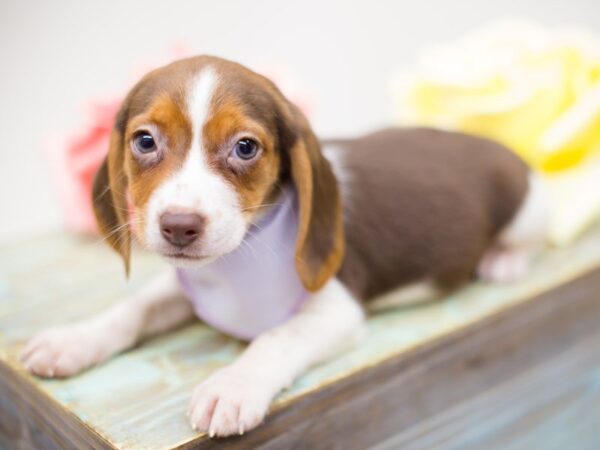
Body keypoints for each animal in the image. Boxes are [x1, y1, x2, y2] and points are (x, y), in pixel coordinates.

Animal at [21, 54, 548, 438]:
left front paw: (234, 384)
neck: (237, 258)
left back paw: (502, 261)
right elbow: (134, 309)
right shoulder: (189, 280)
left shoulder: (337, 309)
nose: (179, 227)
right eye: (145, 141)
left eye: (245, 147)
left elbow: (277, 337)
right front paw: (74, 340)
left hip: (527, 209)